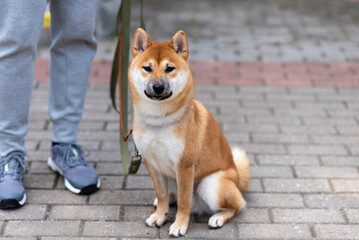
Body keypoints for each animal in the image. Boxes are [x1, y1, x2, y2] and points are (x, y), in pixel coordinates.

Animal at [129, 28, 250, 238]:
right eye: (147, 68)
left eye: (169, 69)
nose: (158, 87)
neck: (158, 121)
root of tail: (237, 179)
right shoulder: (152, 164)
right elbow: (161, 195)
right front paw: (159, 215)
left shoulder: (184, 167)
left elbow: (184, 203)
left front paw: (179, 225)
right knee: (170, 195)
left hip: (210, 185)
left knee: (238, 206)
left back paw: (218, 218)